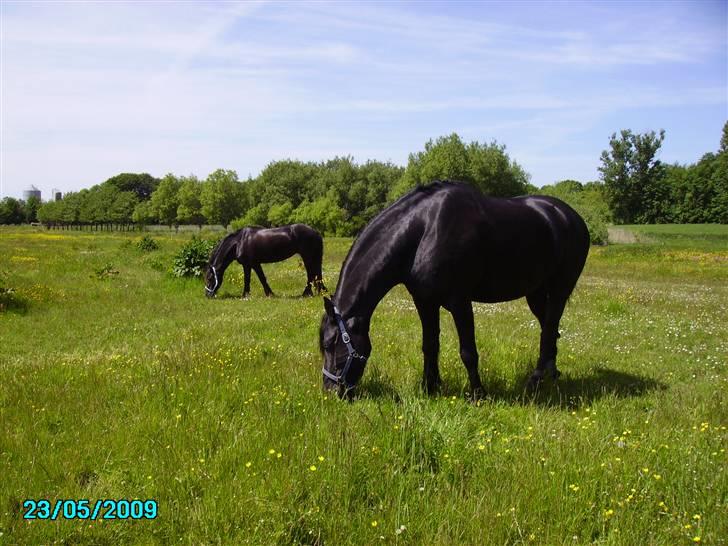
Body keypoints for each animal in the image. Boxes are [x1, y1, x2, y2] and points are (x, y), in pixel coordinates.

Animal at [320, 181, 592, 398]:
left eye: (332, 344)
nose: (331, 392)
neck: (424, 230)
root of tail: (570, 216)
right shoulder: (424, 301)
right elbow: (429, 345)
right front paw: (429, 388)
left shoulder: (460, 302)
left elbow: (468, 352)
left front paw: (478, 394)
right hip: (535, 293)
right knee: (550, 328)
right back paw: (551, 374)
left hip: (559, 290)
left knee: (549, 330)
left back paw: (534, 382)